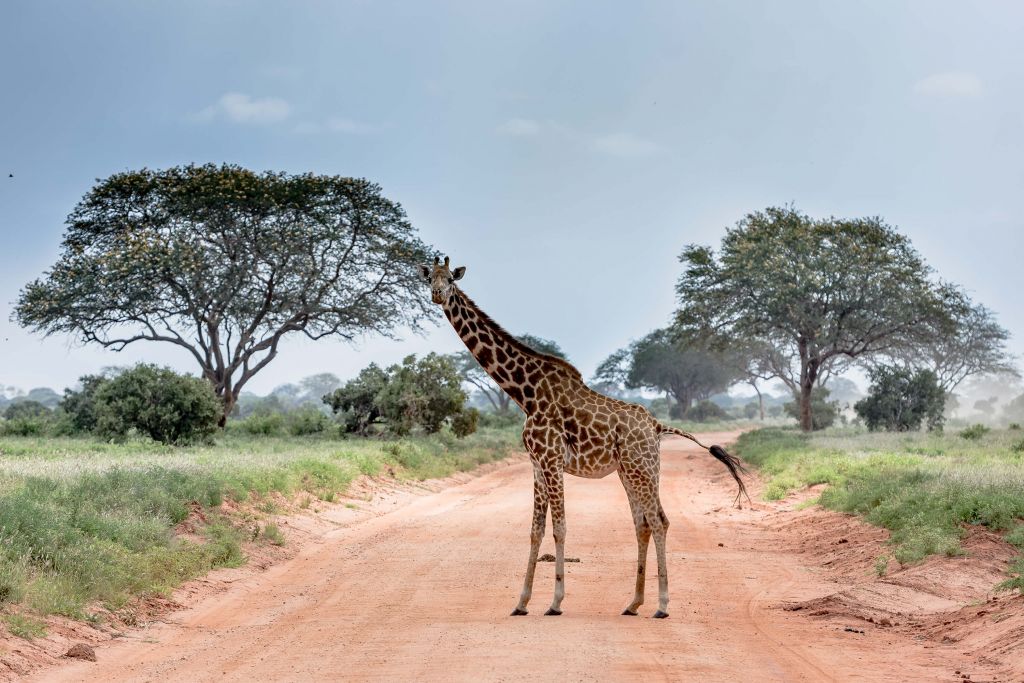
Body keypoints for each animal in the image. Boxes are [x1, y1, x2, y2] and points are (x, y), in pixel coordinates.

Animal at [421, 256, 749, 618]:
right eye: (430, 278)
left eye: (451, 279)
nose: (437, 295)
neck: (525, 393)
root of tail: (657, 426)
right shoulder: (536, 463)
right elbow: (535, 530)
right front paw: (521, 602)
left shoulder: (551, 460)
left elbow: (560, 527)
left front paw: (555, 602)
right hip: (630, 471)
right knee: (643, 524)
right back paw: (633, 603)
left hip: (643, 469)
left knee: (659, 520)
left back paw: (662, 605)